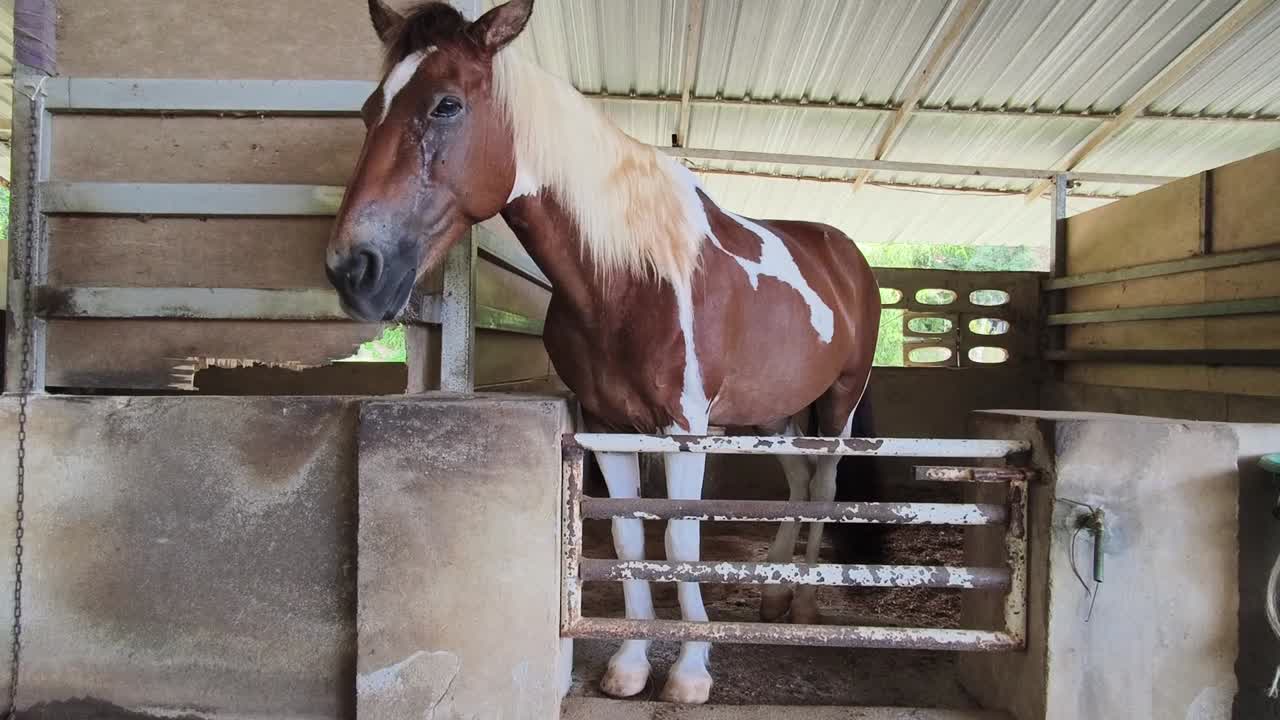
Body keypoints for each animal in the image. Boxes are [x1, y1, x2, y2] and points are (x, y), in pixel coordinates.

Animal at [326, 0, 881, 705]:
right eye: (370, 109)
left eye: (447, 105)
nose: (353, 270)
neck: (627, 277)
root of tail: (846, 253)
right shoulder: (609, 426)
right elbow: (625, 534)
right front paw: (630, 665)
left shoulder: (685, 429)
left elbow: (678, 537)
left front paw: (691, 671)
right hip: (774, 413)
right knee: (799, 482)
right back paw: (775, 597)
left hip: (838, 403)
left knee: (826, 487)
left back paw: (804, 604)